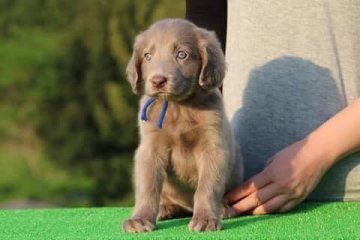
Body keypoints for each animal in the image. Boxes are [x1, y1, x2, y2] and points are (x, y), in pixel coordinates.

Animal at [122, 18, 243, 232]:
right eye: (147, 56)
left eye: (181, 54)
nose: (158, 80)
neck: (178, 107)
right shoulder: (150, 149)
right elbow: (147, 187)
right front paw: (140, 219)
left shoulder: (213, 147)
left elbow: (207, 187)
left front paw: (205, 218)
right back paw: (165, 208)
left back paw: (223, 209)